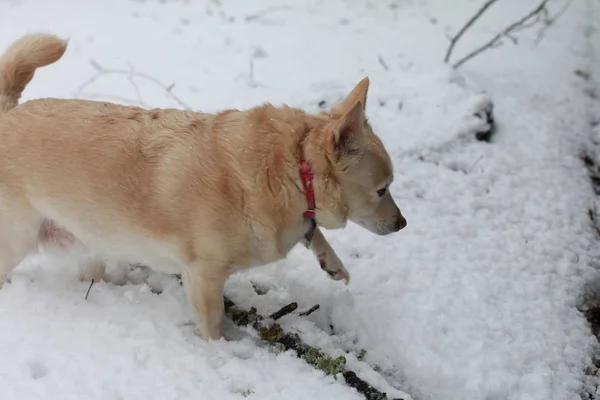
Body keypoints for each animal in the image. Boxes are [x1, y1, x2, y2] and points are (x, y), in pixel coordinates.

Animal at [0, 34, 408, 340]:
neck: (292, 166)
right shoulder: (204, 276)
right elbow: (211, 326)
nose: (402, 224)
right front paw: (223, 351)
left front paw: (331, 261)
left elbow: (315, 231)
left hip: (91, 245)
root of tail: (8, 113)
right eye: (382, 189)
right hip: (16, 240)